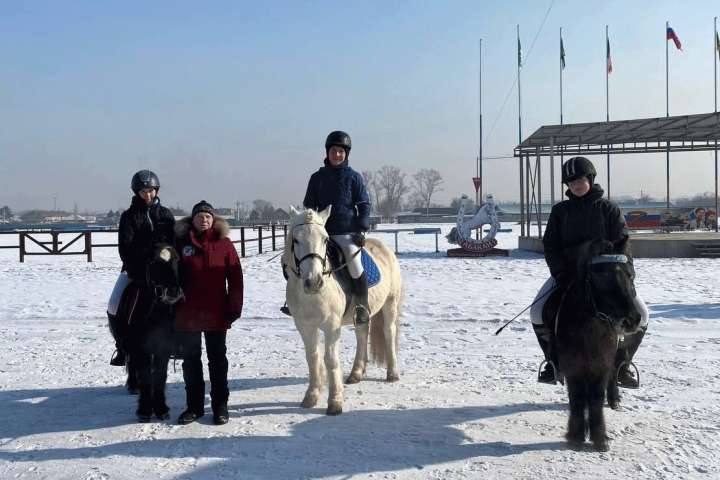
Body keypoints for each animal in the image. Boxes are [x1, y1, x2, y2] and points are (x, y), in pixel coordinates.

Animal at [282, 207, 404, 416]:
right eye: (296, 240)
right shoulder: (305, 326)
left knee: (389, 332)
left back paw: (392, 374)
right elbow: (312, 358)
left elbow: (330, 360)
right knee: (362, 335)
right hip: (363, 313)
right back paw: (356, 373)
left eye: (325, 239)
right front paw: (311, 397)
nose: (313, 282)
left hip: (390, 303)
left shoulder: (332, 326)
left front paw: (335, 402)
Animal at [548, 238, 644, 452]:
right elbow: (577, 398)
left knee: (614, 373)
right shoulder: (573, 367)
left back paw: (615, 399)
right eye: (600, 276)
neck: (589, 330)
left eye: (629, 274)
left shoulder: (601, 366)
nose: (631, 320)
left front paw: (600, 437)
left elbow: (596, 398)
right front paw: (576, 436)